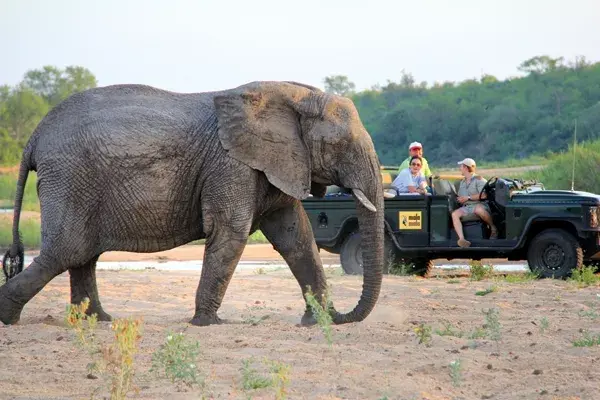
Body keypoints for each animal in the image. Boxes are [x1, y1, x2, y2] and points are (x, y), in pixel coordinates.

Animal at [0, 79, 384, 326]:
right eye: (341, 145)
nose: (341, 316)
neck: (294, 96)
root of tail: (34, 137)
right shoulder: (231, 164)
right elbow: (231, 233)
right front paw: (208, 323)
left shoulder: (273, 163)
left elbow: (296, 238)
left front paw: (316, 322)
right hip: (70, 176)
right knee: (66, 250)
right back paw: (10, 318)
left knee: (81, 254)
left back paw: (100, 321)